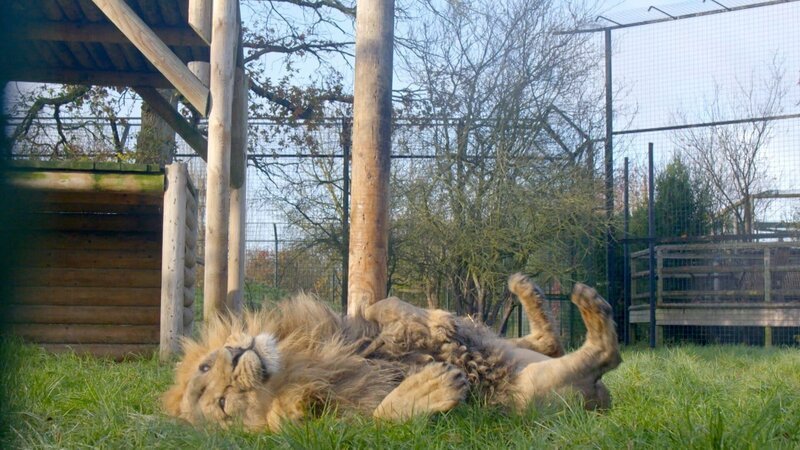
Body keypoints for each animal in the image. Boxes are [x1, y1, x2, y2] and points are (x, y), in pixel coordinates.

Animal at [163, 274, 621, 431]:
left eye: (206, 365)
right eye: (223, 405)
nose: (235, 355)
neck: (297, 363)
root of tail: (603, 399)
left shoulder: (350, 326)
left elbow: (385, 306)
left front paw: (434, 322)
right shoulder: (337, 424)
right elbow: (382, 416)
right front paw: (430, 388)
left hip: (518, 349)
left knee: (547, 341)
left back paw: (526, 287)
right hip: (534, 391)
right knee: (601, 356)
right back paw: (591, 307)